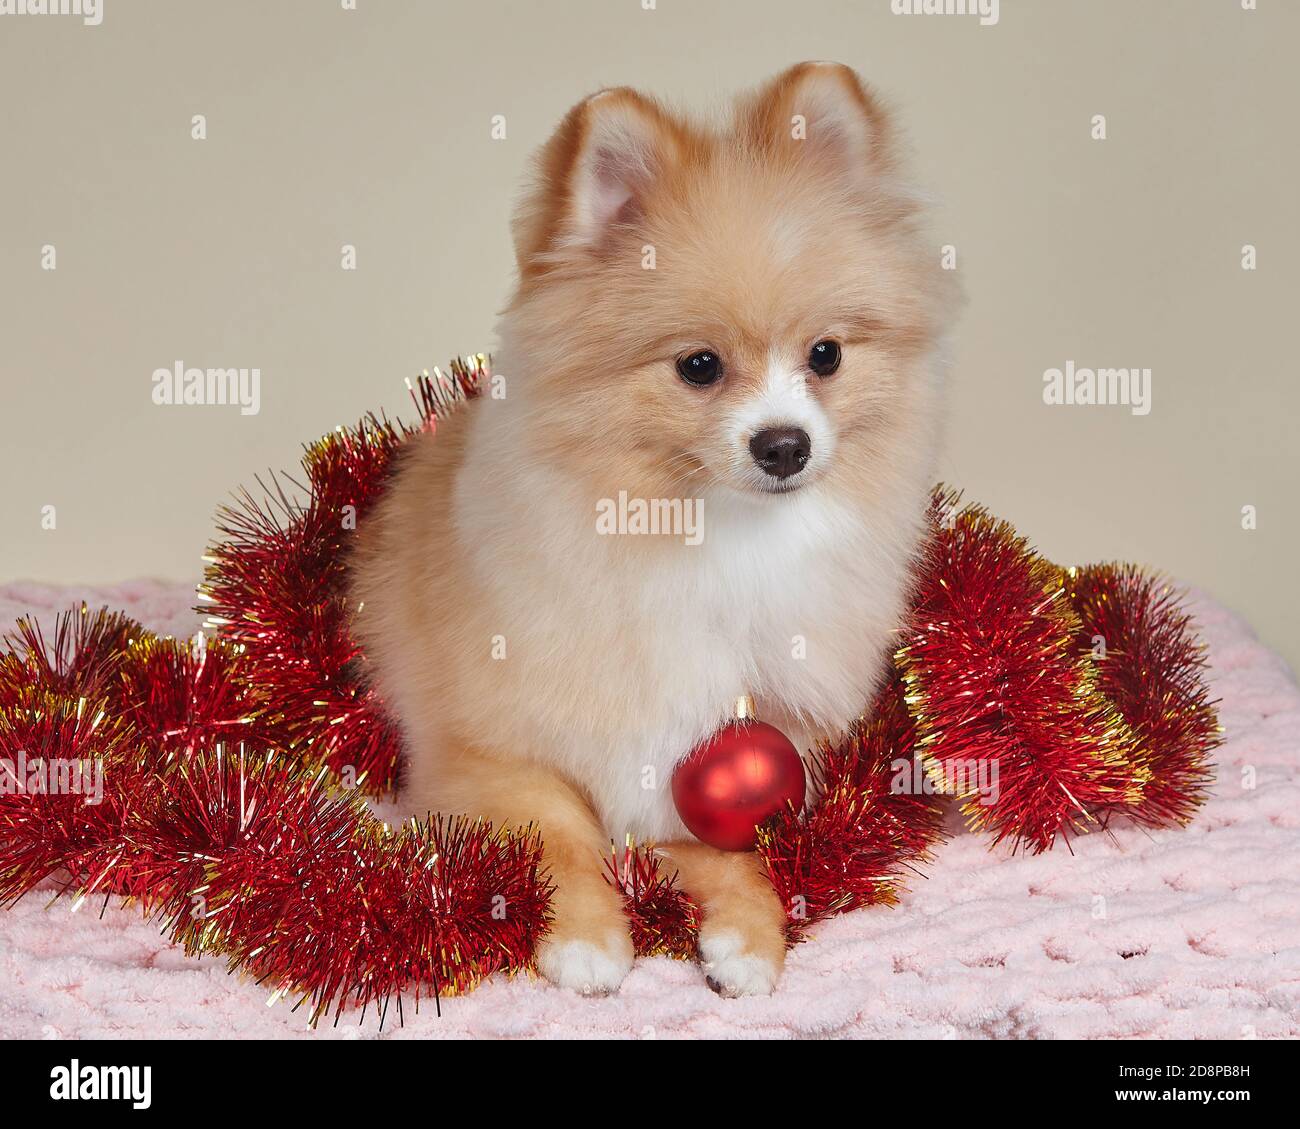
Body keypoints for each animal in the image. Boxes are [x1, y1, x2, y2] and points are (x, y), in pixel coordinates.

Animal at [351, 61, 961, 998]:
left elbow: (737, 858)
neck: (716, 539)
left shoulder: (712, 764)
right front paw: (586, 937)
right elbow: (559, 831)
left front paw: (748, 939)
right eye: (698, 366)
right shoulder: (484, 752)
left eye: (825, 356)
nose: (785, 443)